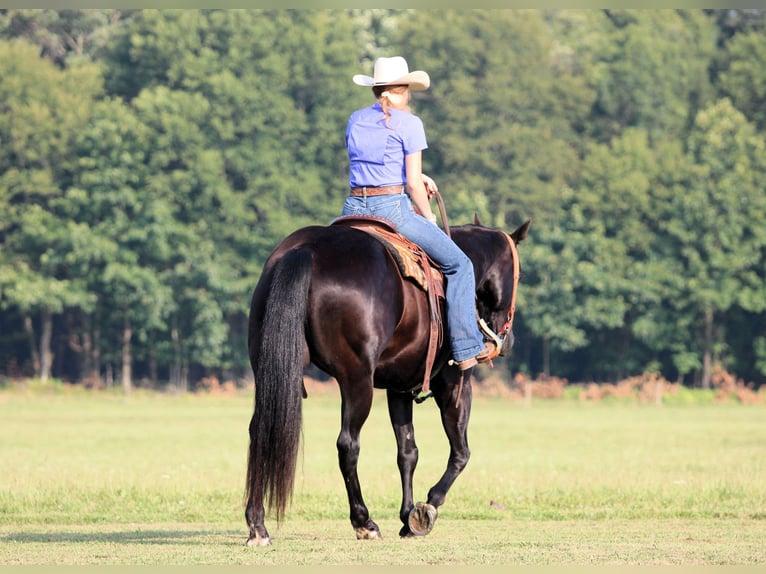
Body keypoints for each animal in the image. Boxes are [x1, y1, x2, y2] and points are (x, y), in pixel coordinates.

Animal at [244, 215, 530, 546]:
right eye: (519, 275)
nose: (507, 341)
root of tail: (307, 250)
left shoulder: (399, 387)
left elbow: (407, 452)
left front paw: (407, 517)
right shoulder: (455, 384)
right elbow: (461, 452)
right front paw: (427, 507)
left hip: (268, 370)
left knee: (261, 430)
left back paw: (257, 524)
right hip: (357, 380)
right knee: (348, 444)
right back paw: (363, 521)